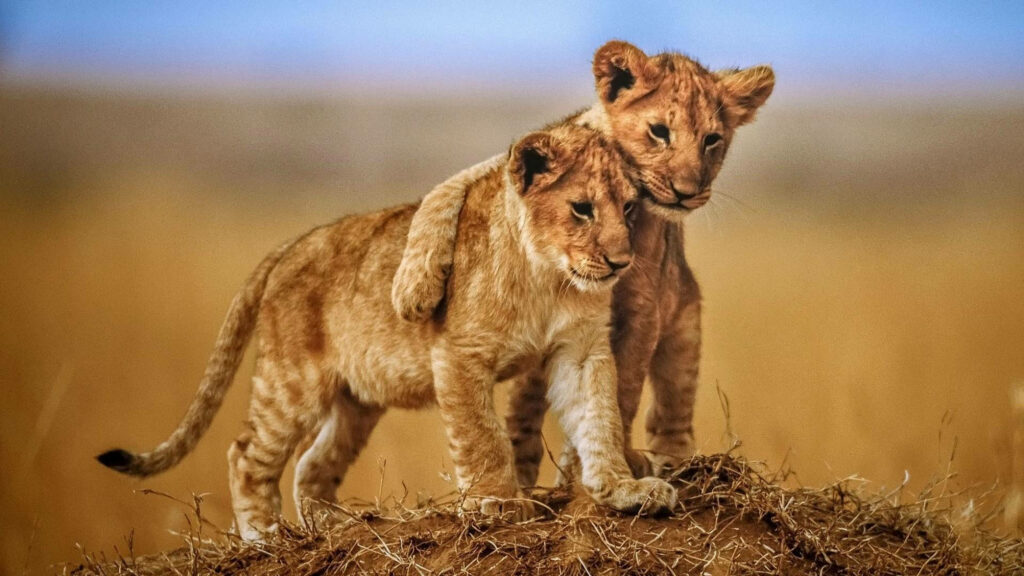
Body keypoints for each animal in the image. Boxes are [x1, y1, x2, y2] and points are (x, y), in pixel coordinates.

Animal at [97, 123, 677, 540]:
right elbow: (483, 436)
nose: (621, 261)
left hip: (357, 400)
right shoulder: (459, 354)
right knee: (246, 455)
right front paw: (497, 501)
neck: (548, 278)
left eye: (629, 207)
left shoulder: (580, 351)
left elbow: (600, 417)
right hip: (292, 382)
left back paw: (336, 527)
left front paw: (624, 489)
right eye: (581, 209)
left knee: (312, 465)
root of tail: (292, 244)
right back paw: (264, 537)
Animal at [390, 41, 775, 486]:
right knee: (524, 406)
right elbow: (445, 192)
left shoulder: (643, 308)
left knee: (671, 409)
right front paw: (414, 289)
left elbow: (622, 389)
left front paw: (604, 465)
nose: (687, 192)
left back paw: (673, 463)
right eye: (660, 131)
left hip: (684, 325)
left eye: (712, 140)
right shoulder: (512, 165)